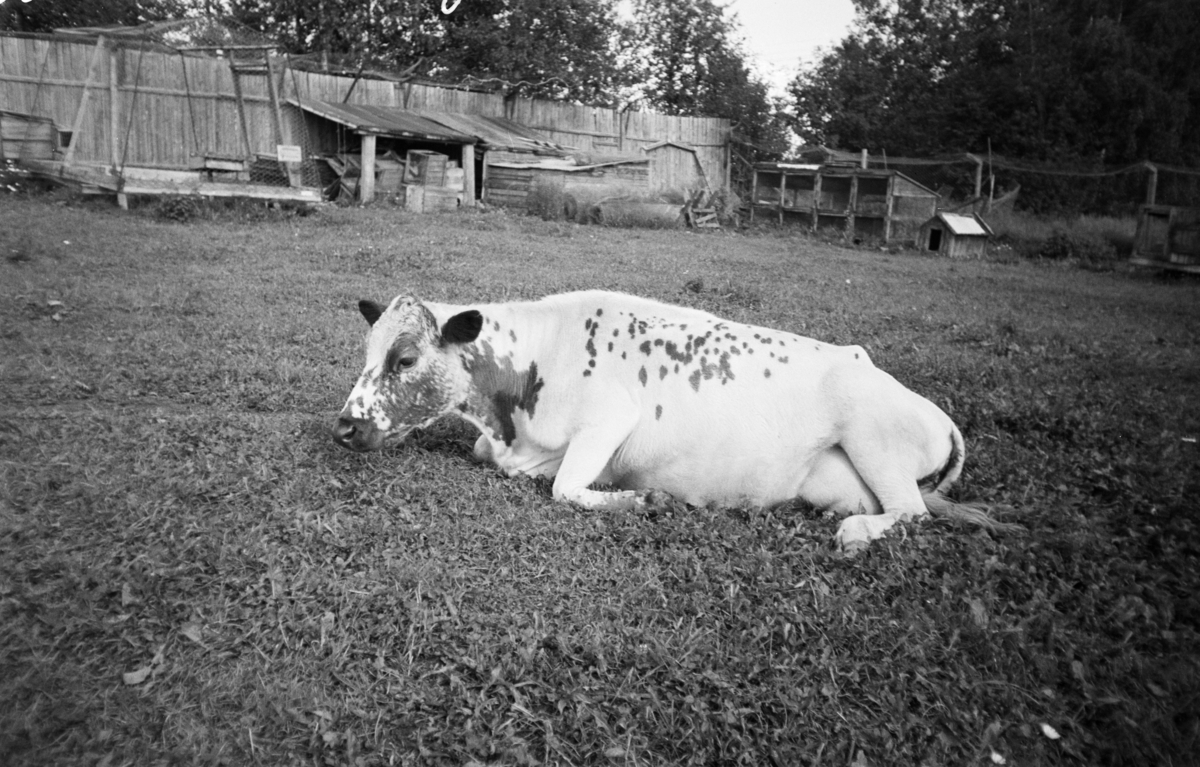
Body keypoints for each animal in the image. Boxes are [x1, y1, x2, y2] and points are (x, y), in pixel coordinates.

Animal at [333, 289, 1017, 552]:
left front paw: (640, 501)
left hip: (875, 438)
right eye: (367, 351)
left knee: (914, 512)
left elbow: (565, 488)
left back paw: (854, 533)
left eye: (404, 358)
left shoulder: (610, 420)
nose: (343, 427)